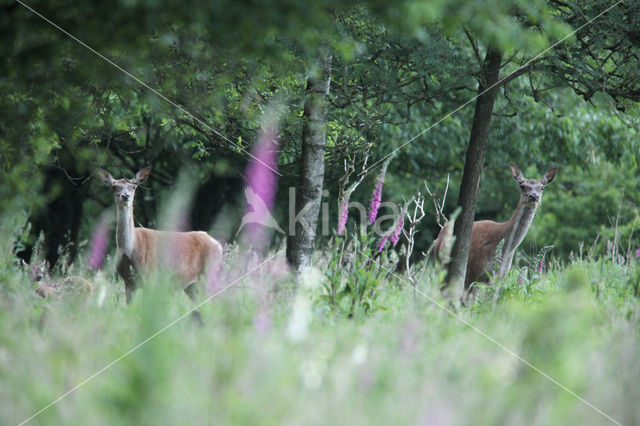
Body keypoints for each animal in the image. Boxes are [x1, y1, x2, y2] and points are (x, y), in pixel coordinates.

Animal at [95, 166, 222, 302]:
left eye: (134, 186)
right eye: (114, 186)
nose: (125, 196)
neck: (130, 250)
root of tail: (218, 244)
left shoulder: (151, 277)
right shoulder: (128, 282)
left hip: (208, 276)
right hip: (191, 286)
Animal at [432, 163, 556, 296]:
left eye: (542, 187)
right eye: (522, 186)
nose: (533, 196)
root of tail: (440, 233)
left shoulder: (499, 277)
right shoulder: (472, 271)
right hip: (442, 264)